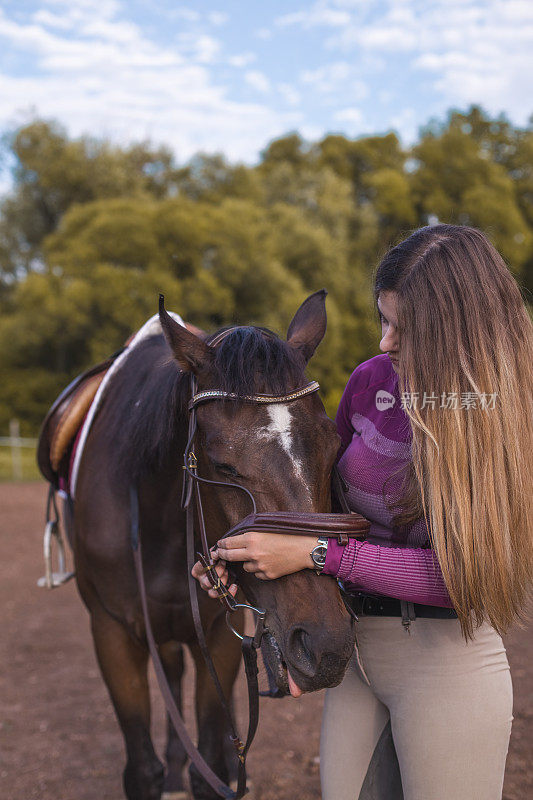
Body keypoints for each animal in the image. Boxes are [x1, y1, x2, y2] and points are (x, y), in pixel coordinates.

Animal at [68, 290, 356, 800]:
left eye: (332, 447)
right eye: (222, 466)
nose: (327, 644)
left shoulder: (222, 629)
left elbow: (213, 768)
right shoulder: (111, 630)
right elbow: (142, 771)